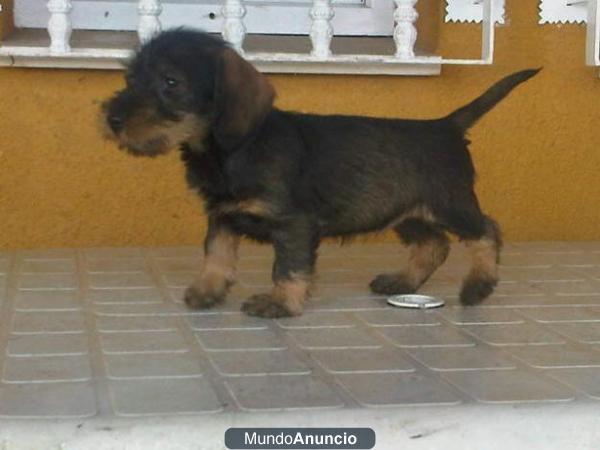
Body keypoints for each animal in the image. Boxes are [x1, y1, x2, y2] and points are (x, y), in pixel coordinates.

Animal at [104, 29, 540, 316]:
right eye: (130, 79)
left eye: (171, 81)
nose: (112, 119)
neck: (233, 149)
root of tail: (445, 125)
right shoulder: (222, 216)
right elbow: (216, 255)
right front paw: (207, 291)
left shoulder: (294, 224)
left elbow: (289, 266)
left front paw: (280, 302)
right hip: (407, 213)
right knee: (434, 245)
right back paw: (402, 282)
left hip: (450, 204)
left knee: (486, 231)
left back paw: (478, 286)